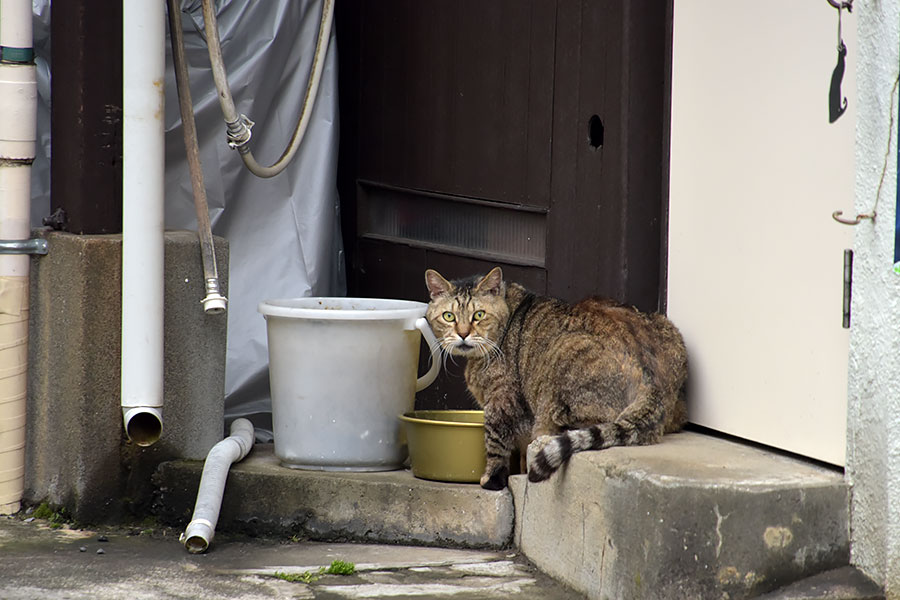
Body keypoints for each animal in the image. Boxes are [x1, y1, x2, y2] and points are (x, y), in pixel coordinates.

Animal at [426, 266, 684, 488]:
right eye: (449, 316)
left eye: (479, 315)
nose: (463, 334)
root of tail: (651, 380)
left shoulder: (501, 403)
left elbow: (495, 442)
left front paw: (491, 478)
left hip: (560, 364)